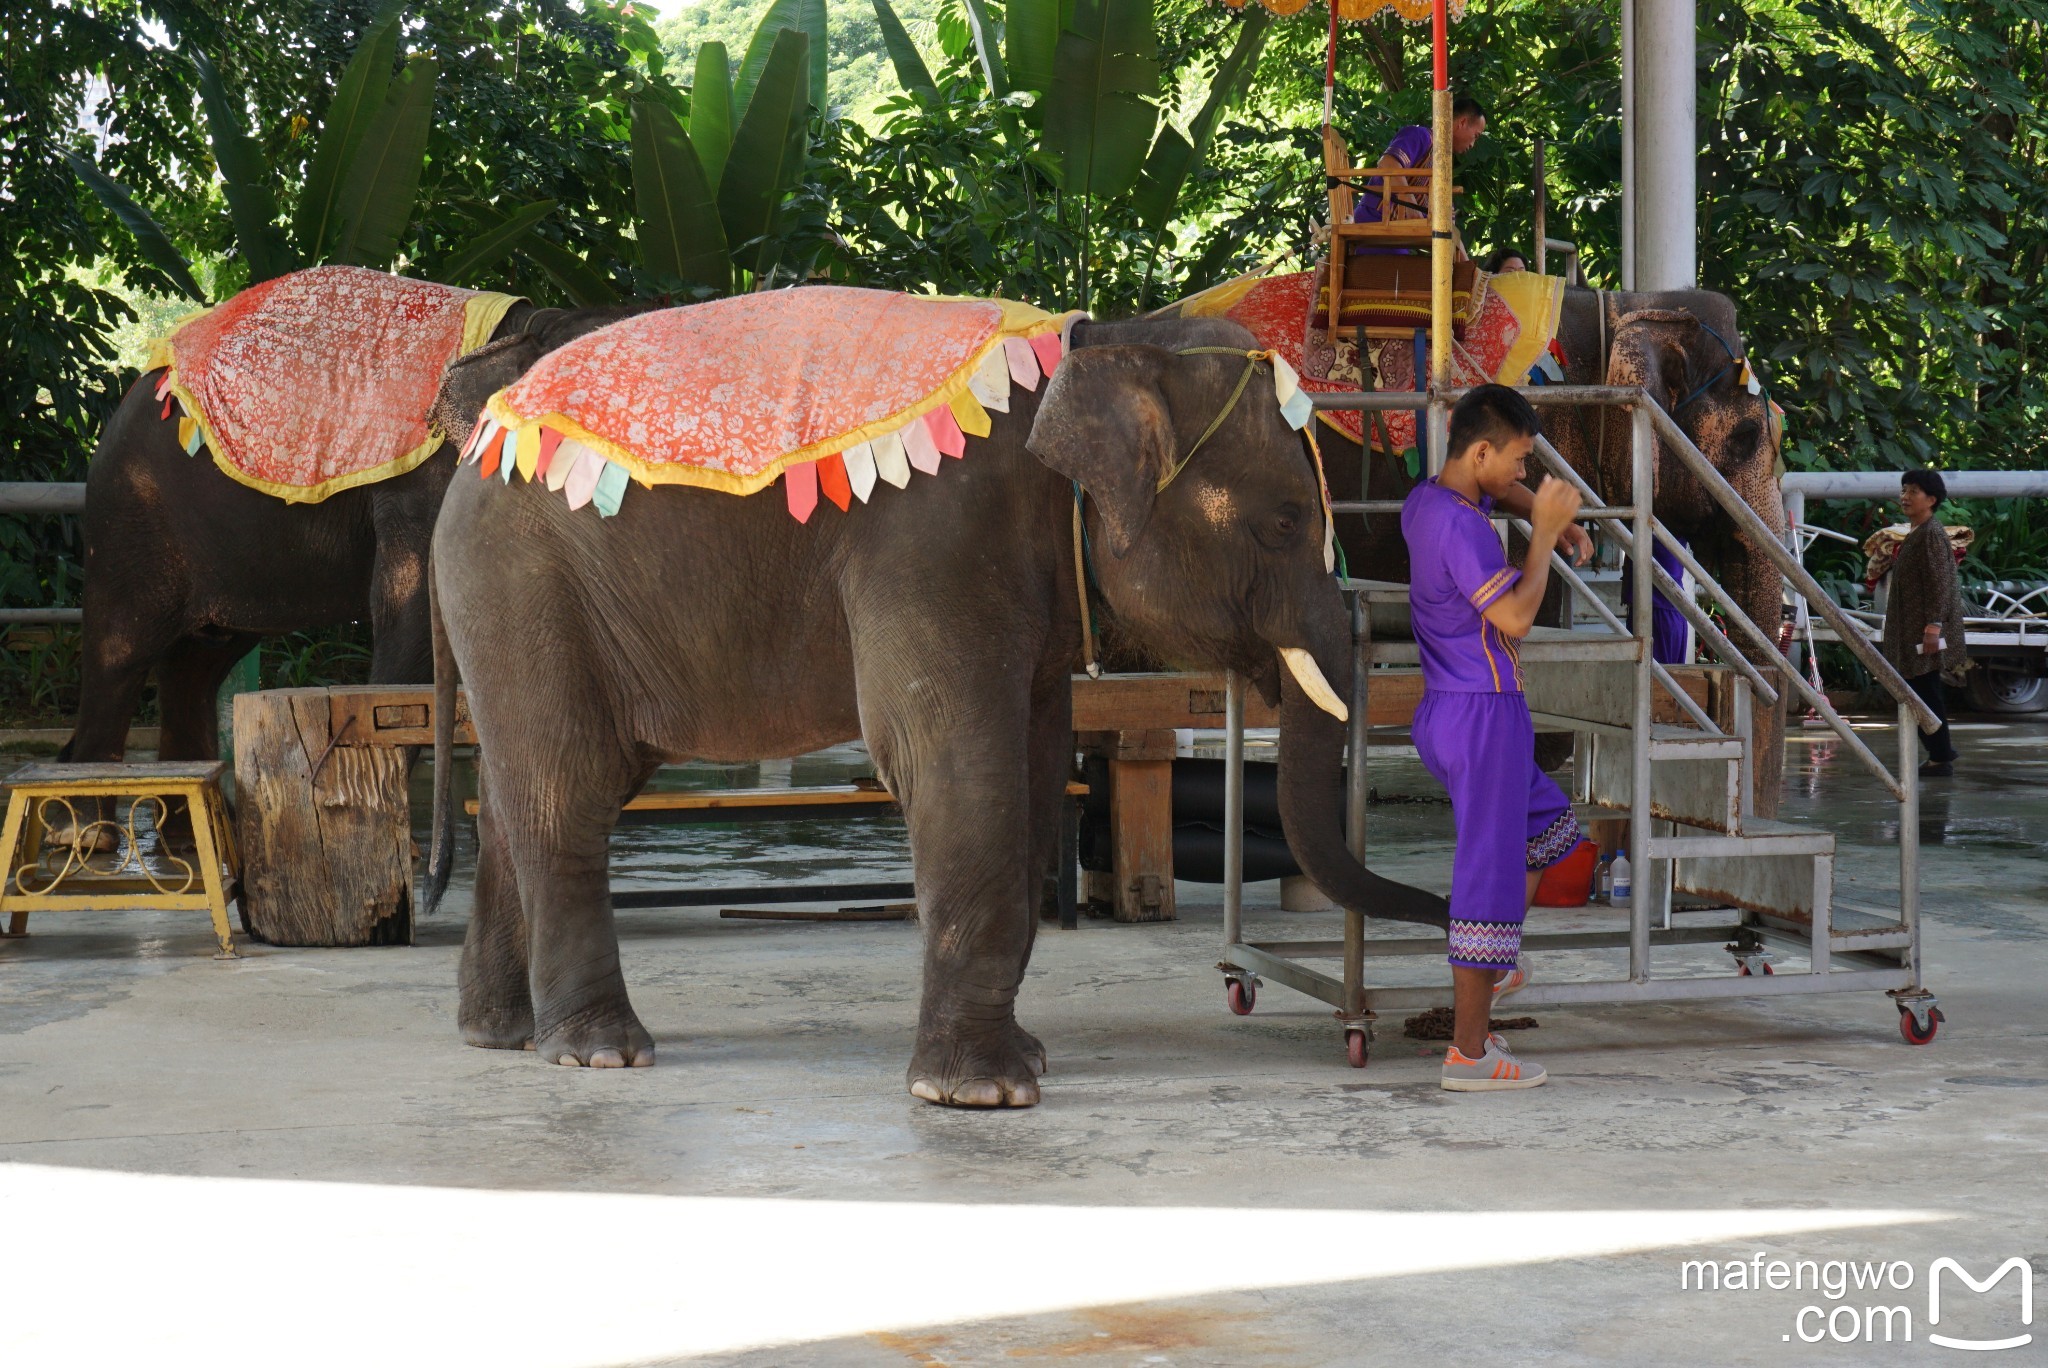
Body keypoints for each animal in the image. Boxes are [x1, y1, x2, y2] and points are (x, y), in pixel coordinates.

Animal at [61, 296, 630, 770]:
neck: (537, 322)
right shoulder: (426, 483)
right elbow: (413, 609)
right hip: (130, 511)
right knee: (120, 658)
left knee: (196, 668)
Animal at [419, 307, 1441, 1097]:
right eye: (1283, 524)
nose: (1439, 913)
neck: (1110, 340)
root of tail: (472, 443)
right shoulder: (937, 543)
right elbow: (948, 757)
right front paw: (983, 1092)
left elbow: (1035, 764)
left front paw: (1022, 1059)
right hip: (520, 582)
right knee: (567, 786)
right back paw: (601, 1054)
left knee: (520, 795)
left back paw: (503, 1035)